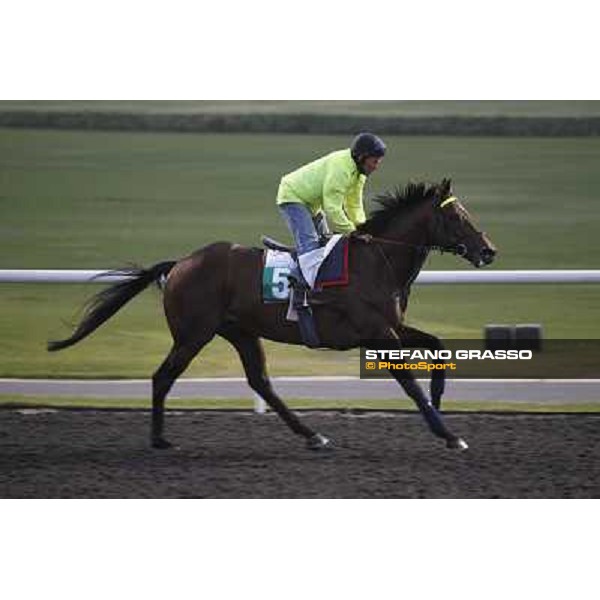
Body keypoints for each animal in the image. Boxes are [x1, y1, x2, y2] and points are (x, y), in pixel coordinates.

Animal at [48, 178, 496, 450]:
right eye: (456, 216)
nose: (489, 251)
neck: (377, 260)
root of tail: (180, 264)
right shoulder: (377, 333)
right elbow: (409, 385)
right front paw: (448, 433)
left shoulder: (391, 326)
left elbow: (438, 346)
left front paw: (440, 398)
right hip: (193, 333)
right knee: (163, 377)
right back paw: (159, 440)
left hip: (241, 331)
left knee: (260, 381)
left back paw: (312, 435)